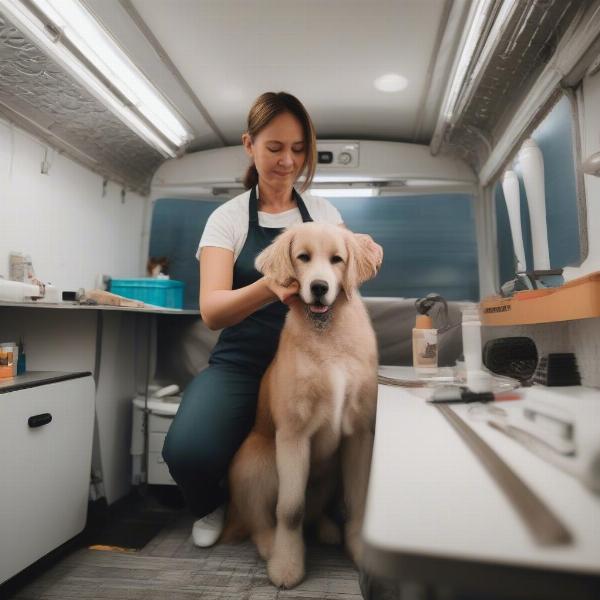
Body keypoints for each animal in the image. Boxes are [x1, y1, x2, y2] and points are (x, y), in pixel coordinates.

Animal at [225, 220, 380, 584]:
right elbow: (290, 509)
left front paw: (358, 550)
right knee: (260, 520)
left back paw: (327, 529)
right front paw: (287, 564)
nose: (320, 287)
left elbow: (358, 500)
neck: (326, 330)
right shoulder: (293, 435)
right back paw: (269, 544)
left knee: (315, 511)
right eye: (303, 257)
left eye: (337, 259)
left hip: (329, 474)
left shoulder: (359, 434)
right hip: (256, 464)